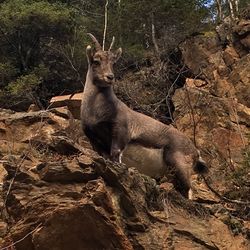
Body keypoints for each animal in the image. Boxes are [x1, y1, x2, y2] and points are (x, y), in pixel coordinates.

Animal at [81, 33, 208, 199]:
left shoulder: (121, 132)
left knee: (189, 190)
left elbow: (116, 155)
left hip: (179, 163)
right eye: (96, 61)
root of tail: (195, 152)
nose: (110, 77)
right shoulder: (94, 140)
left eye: (113, 62)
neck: (96, 111)